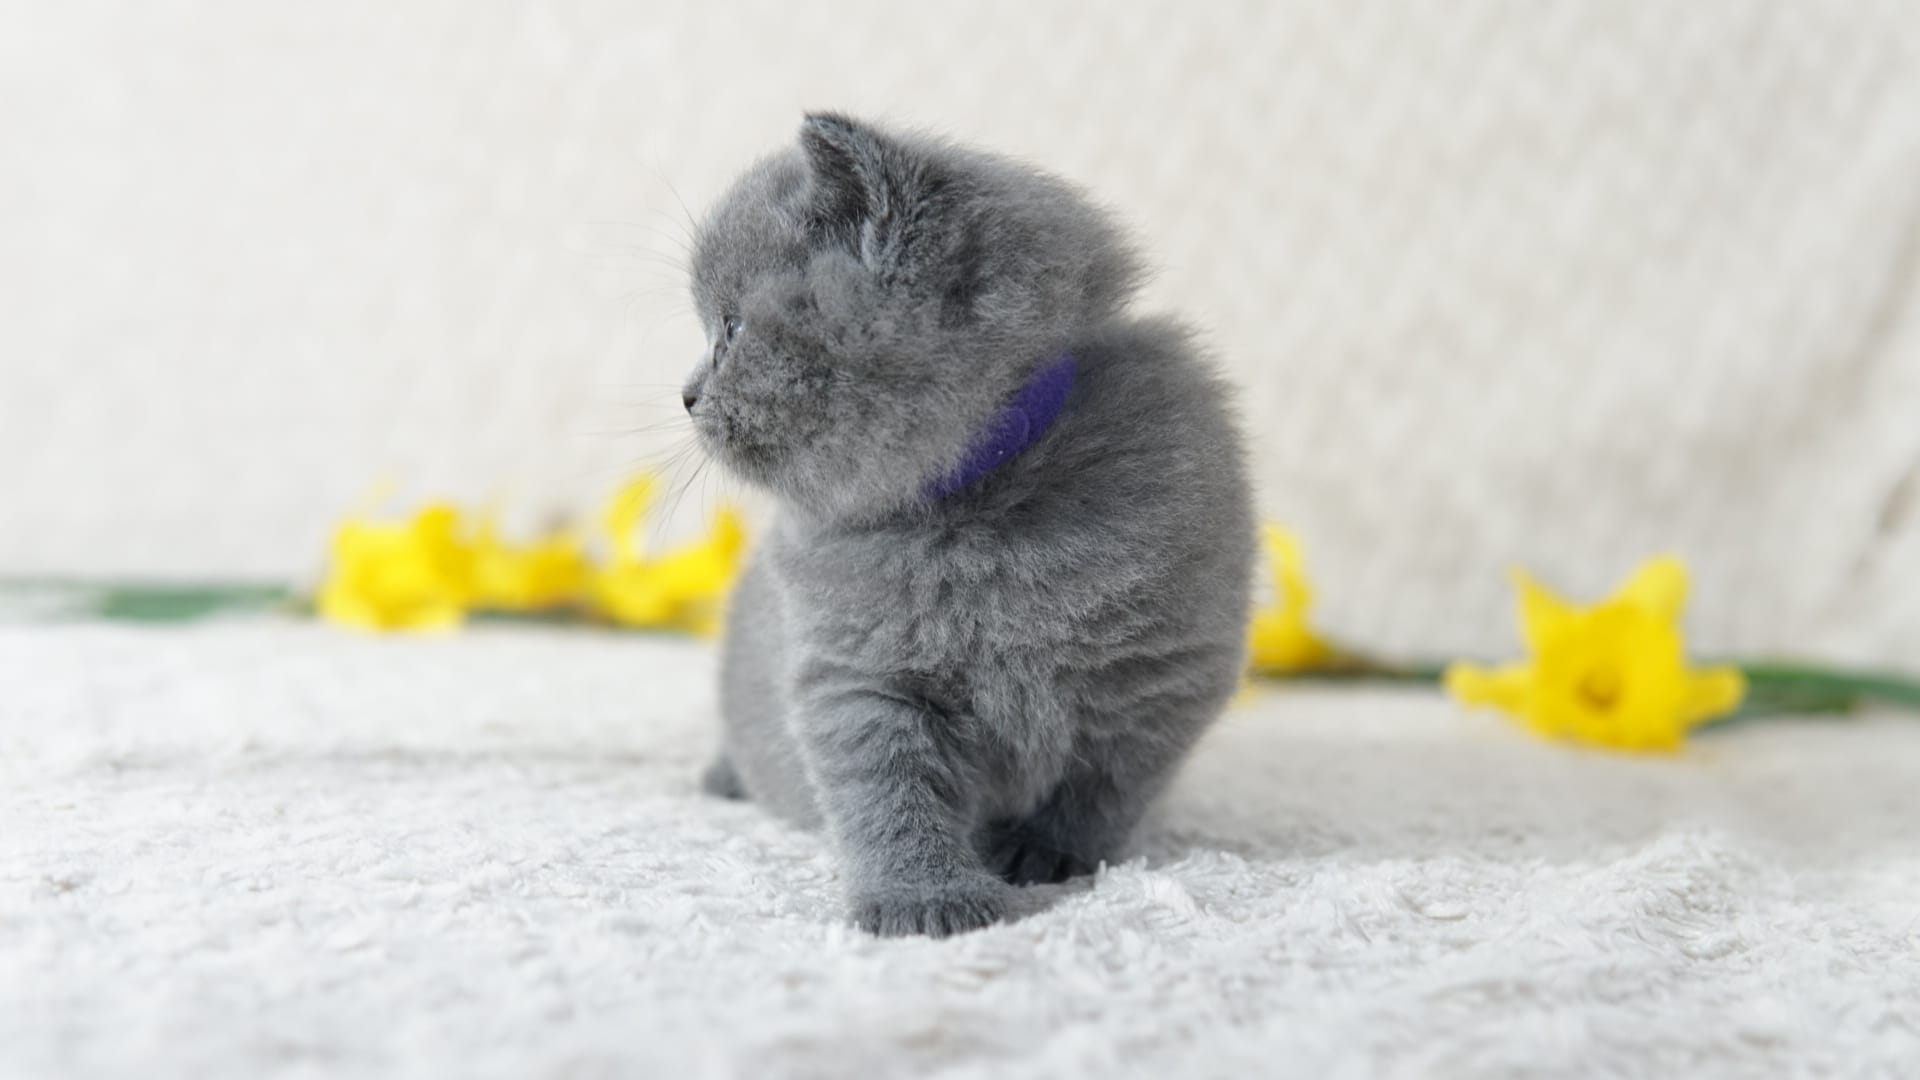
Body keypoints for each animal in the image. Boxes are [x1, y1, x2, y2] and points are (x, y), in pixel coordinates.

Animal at [681, 113, 1254, 937]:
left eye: (730, 328)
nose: (686, 395)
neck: (977, 504)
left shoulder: (1162, 675)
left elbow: (1104, 786)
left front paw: (1046, 854)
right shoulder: (858, 679)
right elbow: (891, 795)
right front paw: (926, 899)